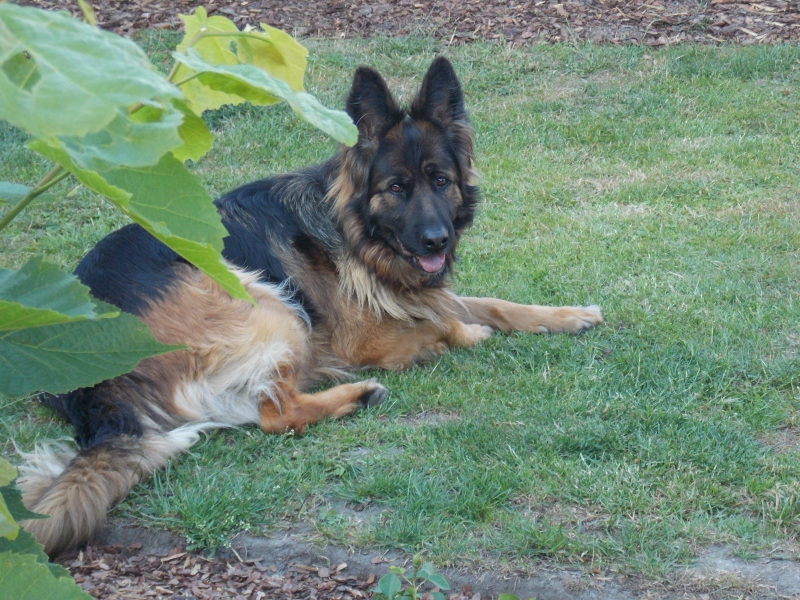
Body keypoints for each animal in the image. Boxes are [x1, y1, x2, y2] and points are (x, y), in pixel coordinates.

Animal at [18, 57, 602, 556]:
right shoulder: (367, 334)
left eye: (442, 181)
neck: (357, 233)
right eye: (396, 188)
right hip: (266, 305)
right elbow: (443, 323)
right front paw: (463, 335)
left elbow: (491, 303)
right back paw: (359, 393)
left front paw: (568, 315)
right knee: (276, 414)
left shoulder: (419, 288)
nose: (437, 240)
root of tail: (93, 390)